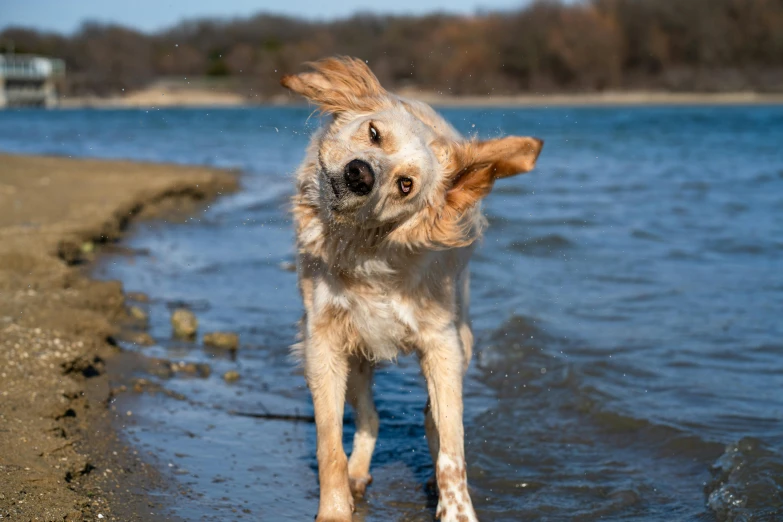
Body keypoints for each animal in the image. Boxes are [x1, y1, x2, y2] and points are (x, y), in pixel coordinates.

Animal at [284, 58, 544, 520]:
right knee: (370, 418)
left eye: (405, 184)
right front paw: (335, 508)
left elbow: (452, 450)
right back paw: (358, 474)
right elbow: (329, 443)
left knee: (431, 420)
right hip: (357, 357)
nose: (360, 174)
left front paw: (457, 511)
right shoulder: (324, 340)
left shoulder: (442, 344)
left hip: (460, 340)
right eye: (373, 132)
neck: (367, 253)